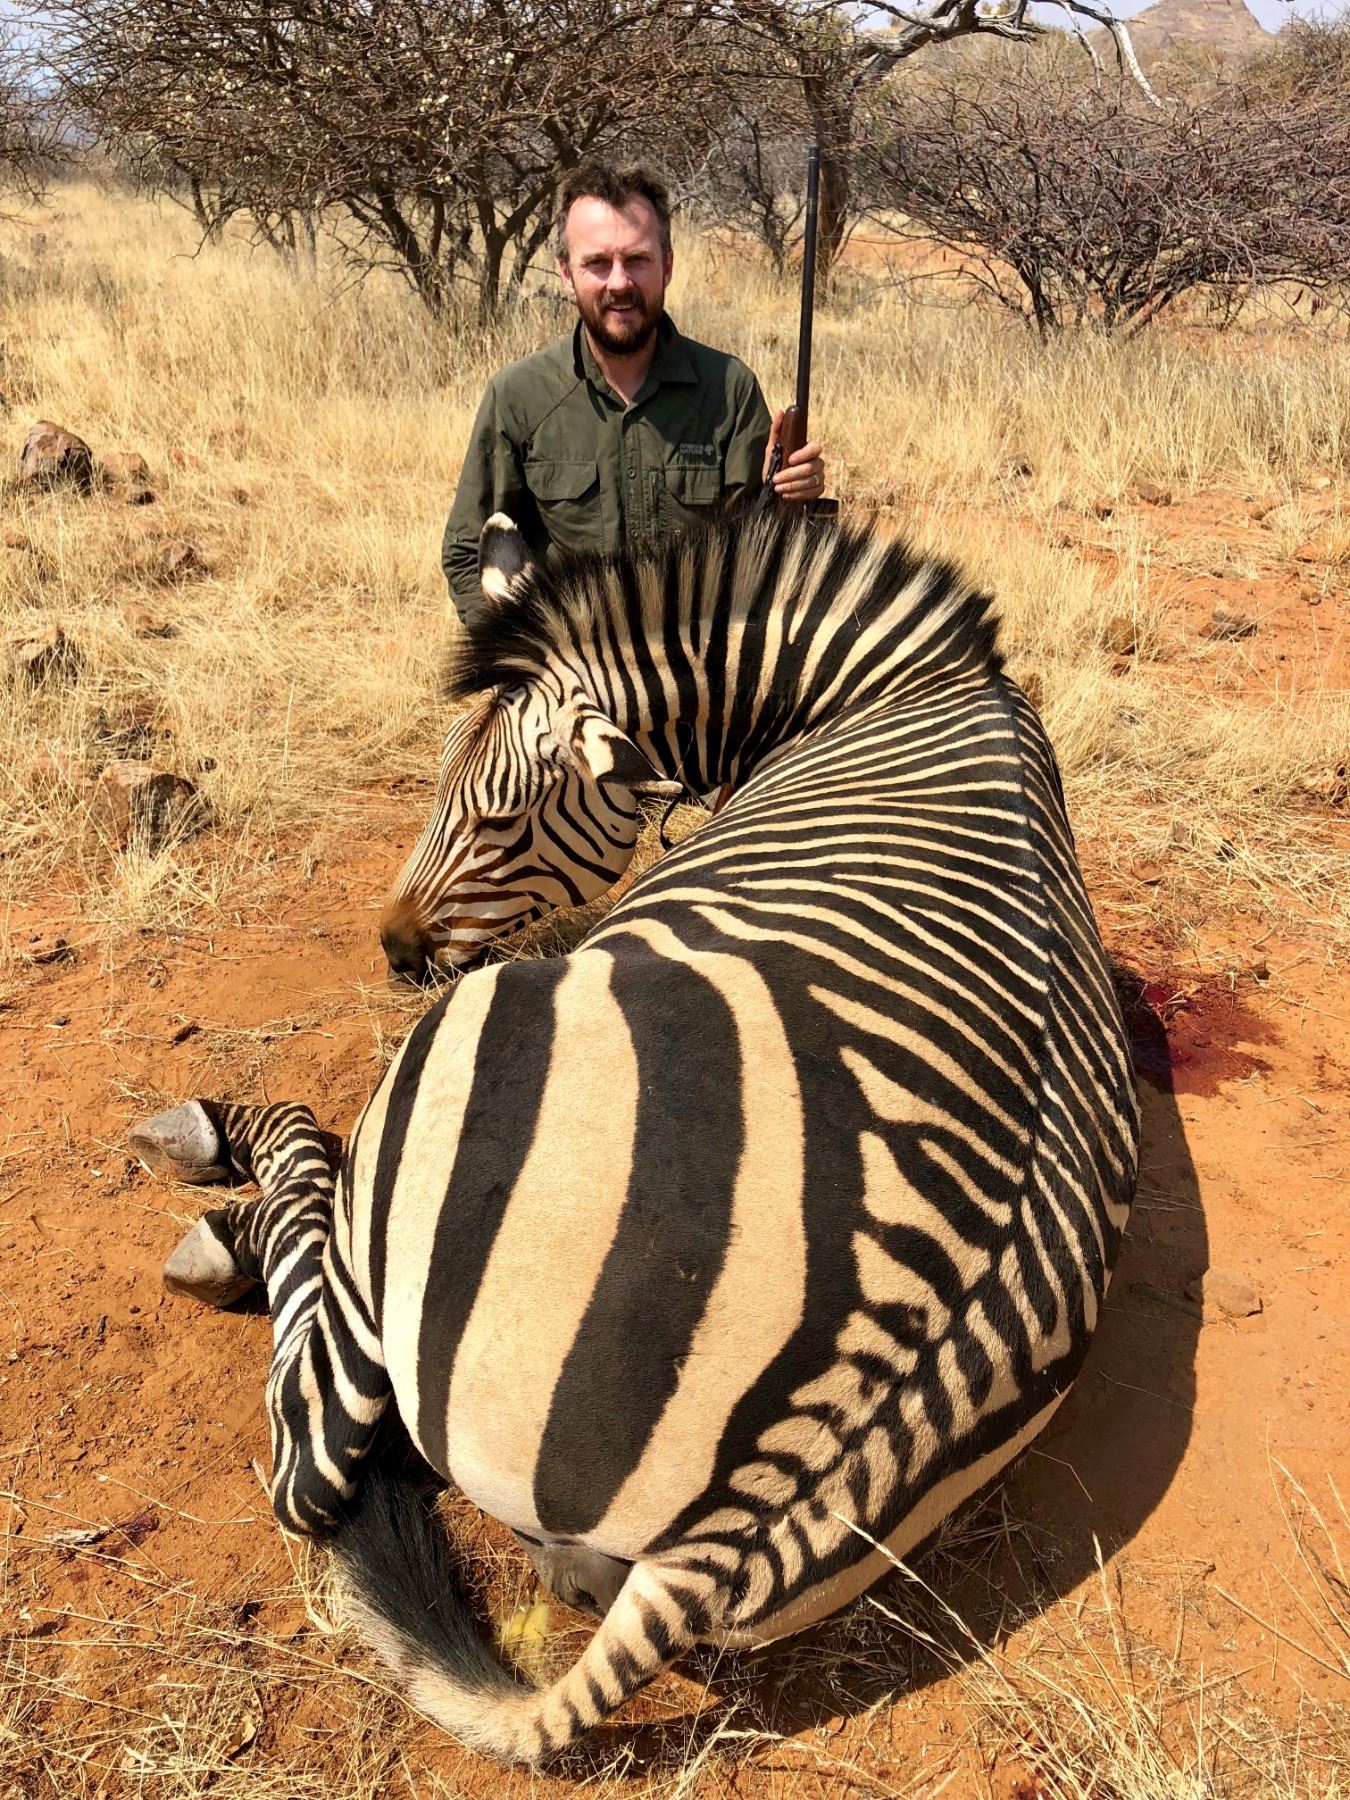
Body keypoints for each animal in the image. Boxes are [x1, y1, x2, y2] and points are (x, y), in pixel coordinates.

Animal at [136, 508, 1139, 1765]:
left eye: (501, 816)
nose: (396, 949)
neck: (912, 689)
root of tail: (742, 1523)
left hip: (453, 1076)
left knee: (308, 1450)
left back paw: (217, 1178)